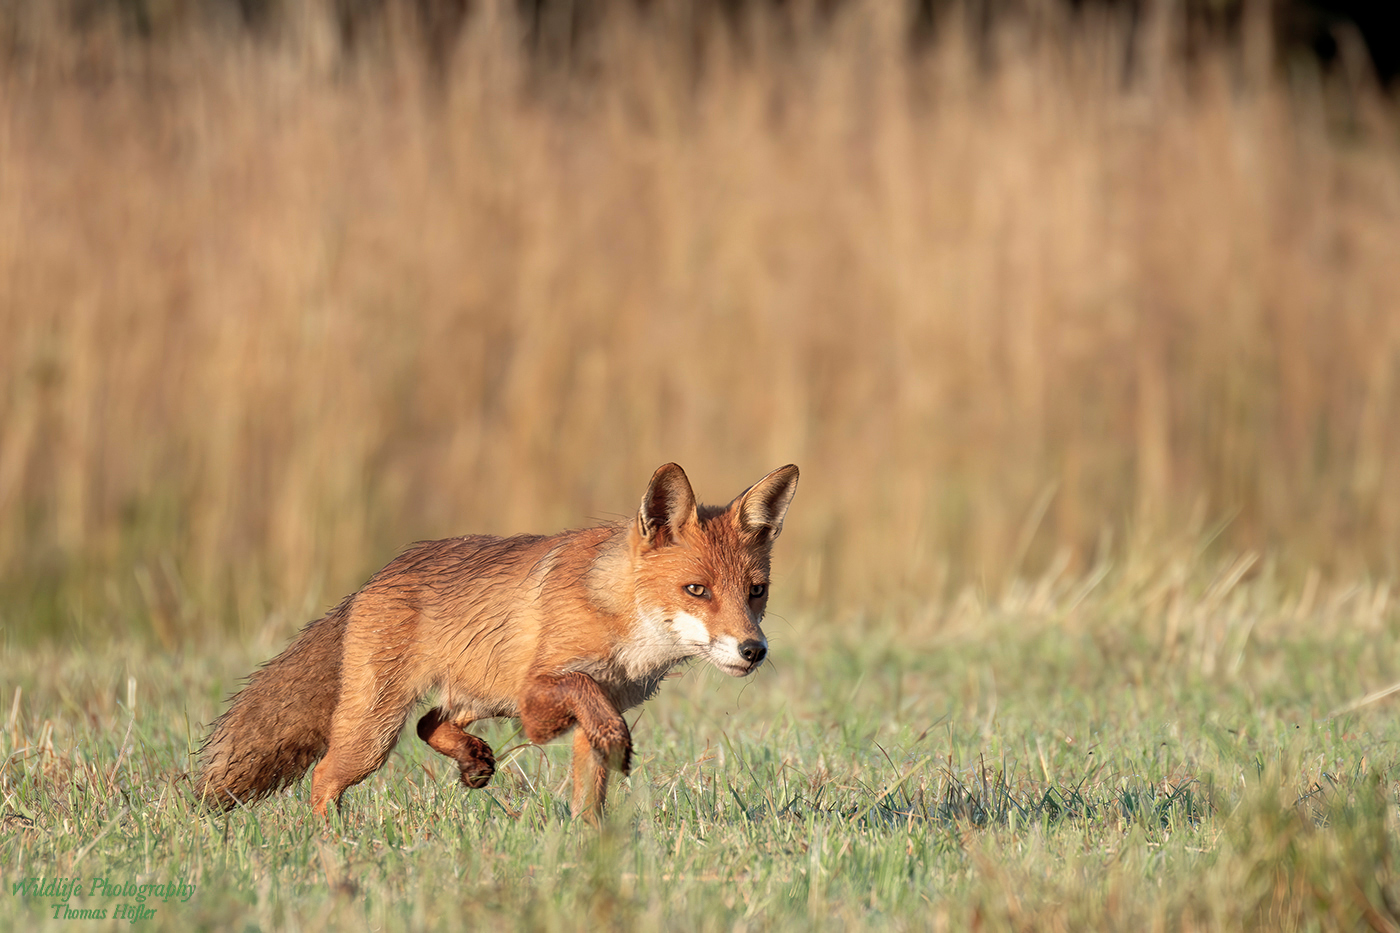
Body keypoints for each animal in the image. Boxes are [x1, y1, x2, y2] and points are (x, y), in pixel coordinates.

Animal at [194, 462, 800, 818]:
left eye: (756, 592)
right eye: (696, 590)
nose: (754, 651)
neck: (618, 621)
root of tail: (373, 579)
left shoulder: (589, 709)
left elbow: (590, 794)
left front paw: (589, 849)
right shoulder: (540, 698)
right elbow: (586, 698)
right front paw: (617, 745)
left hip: (476, 697)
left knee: (430, 722)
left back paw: (472, 760)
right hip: (373, 734)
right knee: (326, 775)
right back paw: (331, 847)